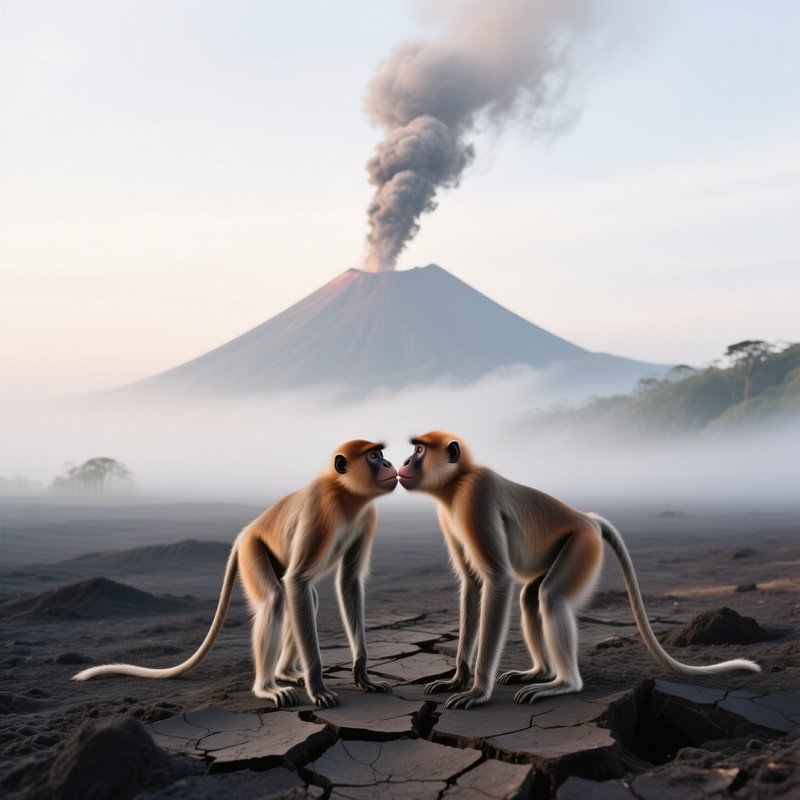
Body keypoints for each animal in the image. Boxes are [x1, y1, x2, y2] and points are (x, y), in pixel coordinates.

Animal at [74, 439, 398, 708]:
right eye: (373, 455)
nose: (388, 463)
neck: (345, 494)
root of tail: (245, 532)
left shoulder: (367, 516)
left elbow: (348, 582)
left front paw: (363, 674)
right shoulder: (323, 507)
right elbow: (298, 581)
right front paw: (318, 688)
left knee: (301, 598)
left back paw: (286, 673)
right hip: (253, 551)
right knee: (276, 598)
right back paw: (267, 687)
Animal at [399, 431, 760, 709]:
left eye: (419, 450)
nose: (403, 462)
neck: (457, 481)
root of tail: (586, 518)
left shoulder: (476, 495)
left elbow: (497, 579)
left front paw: (477, 692)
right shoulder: (448, 512)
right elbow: (473, 583)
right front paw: (457, 679)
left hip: (583, 545)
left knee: (550, 596)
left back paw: (563, 684)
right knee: (531, 597)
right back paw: (541, 672)